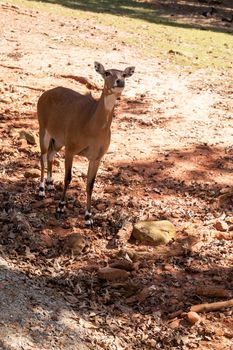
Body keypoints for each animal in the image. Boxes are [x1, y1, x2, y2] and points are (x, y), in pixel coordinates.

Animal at [36, 62, 135, 227]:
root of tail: (44, 95)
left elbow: (90, 184)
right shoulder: (71, 149)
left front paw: (89, 217)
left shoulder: (96, 157)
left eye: (124, 74)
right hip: (43, 128)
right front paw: (60, 208)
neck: (92, 126)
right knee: (43, 156)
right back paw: (41, 190)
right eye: (107, 73)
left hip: (59, 140)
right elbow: (68, 178)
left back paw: (50, 184)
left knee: (50, 154)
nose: (120, 81)